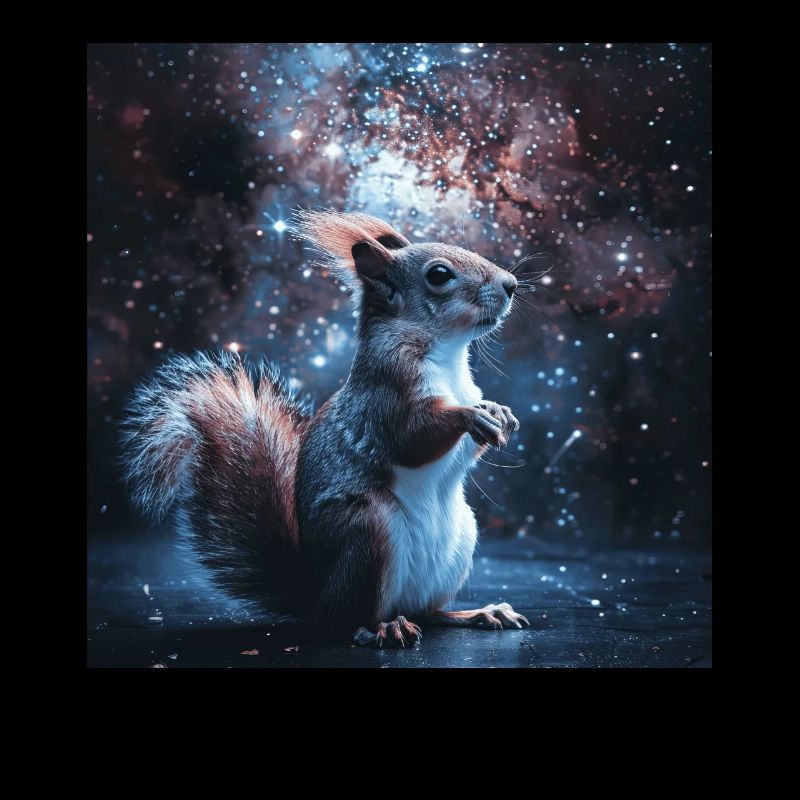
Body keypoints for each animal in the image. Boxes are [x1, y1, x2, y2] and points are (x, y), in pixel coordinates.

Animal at [122, 210, 530, 647]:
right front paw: (470, 416)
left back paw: (479, 613)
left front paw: (497, 411)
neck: (446, 354)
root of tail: (317, 598)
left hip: (458, 539)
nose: (510, 284)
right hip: (368, 532)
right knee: (351, 619)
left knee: (429, 612)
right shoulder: (385, 394)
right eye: (440, 275)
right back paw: (383, 628)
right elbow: (411, 438)